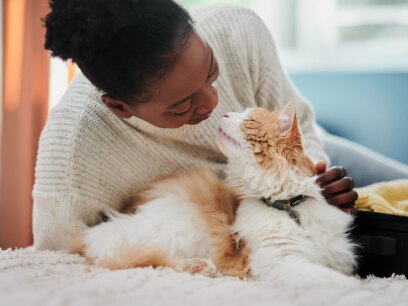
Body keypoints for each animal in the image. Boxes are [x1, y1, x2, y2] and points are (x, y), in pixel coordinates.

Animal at [75, 101, 358, 290]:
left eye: (249, 120)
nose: (225, 112)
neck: (289, 205)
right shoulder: (278, 262)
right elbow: (337, 282)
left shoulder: (338, 258)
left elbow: (340, 275)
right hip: (178, 228)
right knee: (129, 257)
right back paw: (198, 266)